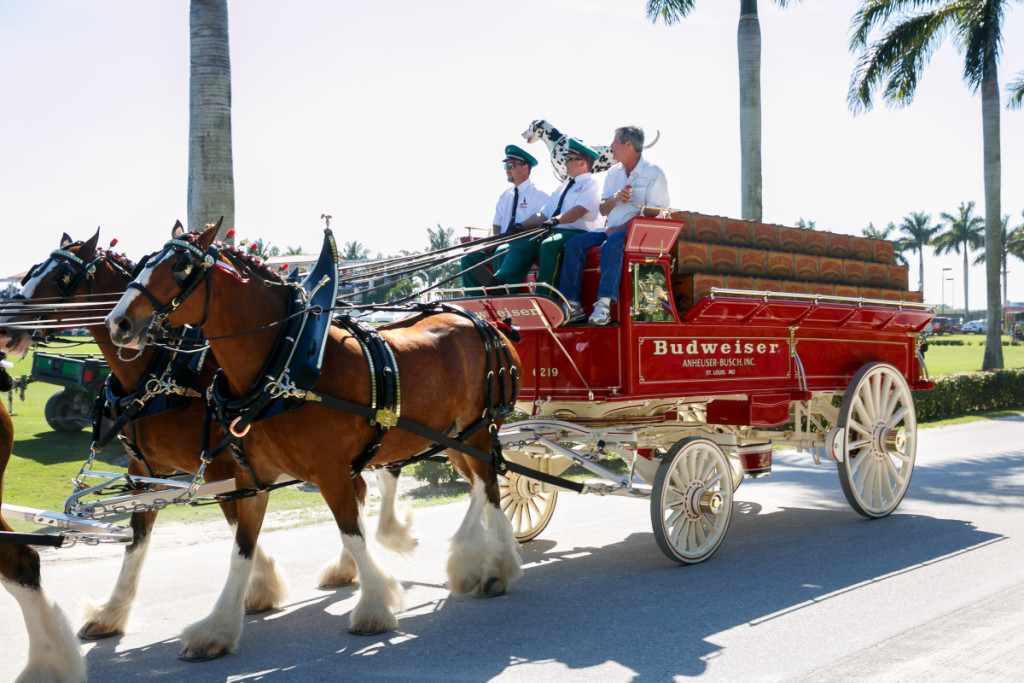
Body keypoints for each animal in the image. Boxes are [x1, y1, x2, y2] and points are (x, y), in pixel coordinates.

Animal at [0, 229, 415, 655]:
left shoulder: (220, 467)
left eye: (61, 277)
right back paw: (348, 568)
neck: (163, 370)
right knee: (359, 487)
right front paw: (112, 613)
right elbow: (139, 541)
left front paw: (259, 588)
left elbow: (237, 527)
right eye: (31, 271)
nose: (7, 330)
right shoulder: (144, 472)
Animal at [104, 224, 524, 663]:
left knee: (490, 488)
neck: (283, 364)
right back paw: (472, 557)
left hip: (477, 431)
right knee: (478, 485)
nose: (117, 323)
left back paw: (494, 567)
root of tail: (485, 321)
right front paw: (217, 628)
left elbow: (352, 534)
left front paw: (374, 606)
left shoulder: (329, 471)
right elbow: (242, 549)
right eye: (145, 261)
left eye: (181, 266)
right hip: (455, 437)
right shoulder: (249, 479)